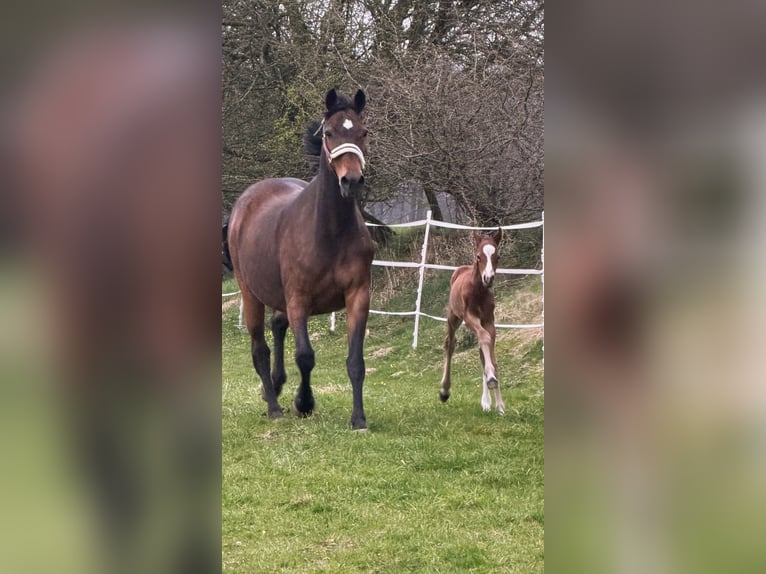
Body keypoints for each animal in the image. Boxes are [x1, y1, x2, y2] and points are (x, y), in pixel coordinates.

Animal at [227, 88, 374, 430]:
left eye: (363, 133)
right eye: (330, 133)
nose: (352, 181)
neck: (330, 232)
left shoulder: (358, 295)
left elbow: (356, 361)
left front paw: (358, 418)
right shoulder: (298, 299)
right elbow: (305, 356)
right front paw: (303, 403)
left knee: (277, 326)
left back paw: (277, 386)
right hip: (250, 293)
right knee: (260, 348)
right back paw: (273, 406)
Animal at [439, 228, 506, 414]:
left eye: (497, 256)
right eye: (478, 256)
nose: (488, 278)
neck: (479, 291)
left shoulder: (489, 320)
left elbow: (489, 351)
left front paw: (499, 404)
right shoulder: (470, 317)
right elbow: (484, 338)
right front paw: (491, 378)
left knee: (481, 351)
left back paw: (486, 402)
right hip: (453, 317)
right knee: (450, 344)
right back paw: (445, 391)